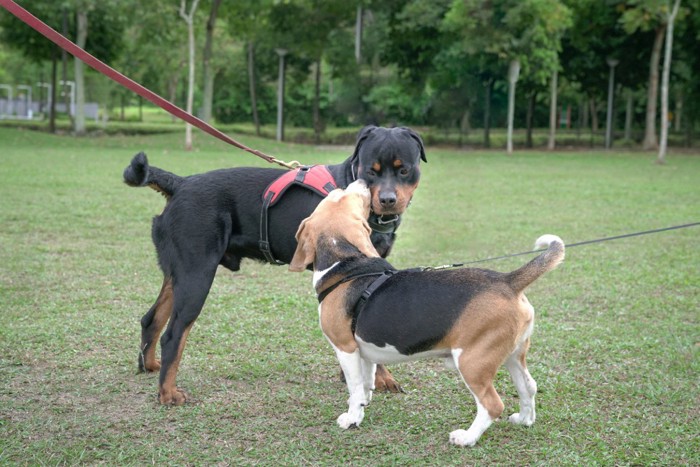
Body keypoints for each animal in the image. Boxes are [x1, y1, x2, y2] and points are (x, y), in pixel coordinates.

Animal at [122, 125, 424, 406]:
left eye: (404, 170)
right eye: (372, 171)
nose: (387, 199)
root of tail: (180, 183)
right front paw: (381, 378)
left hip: (178, 273)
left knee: (151, 319)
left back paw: (150, 365)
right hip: (197, 274)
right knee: (173, 335)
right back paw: (168, 393)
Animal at [288, 181, 568, 448]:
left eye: (339, 195)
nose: (363, 182)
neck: (346, 263)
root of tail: (508, 281)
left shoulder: (345, 348)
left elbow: (355, 388)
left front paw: (352, 418)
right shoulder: (363, 351)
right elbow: (367, 382)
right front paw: (365, 404)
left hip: (473, 361)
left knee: (492, 404)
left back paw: (466, 438)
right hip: (512, 354)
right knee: (529, 386)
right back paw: (524, 419)